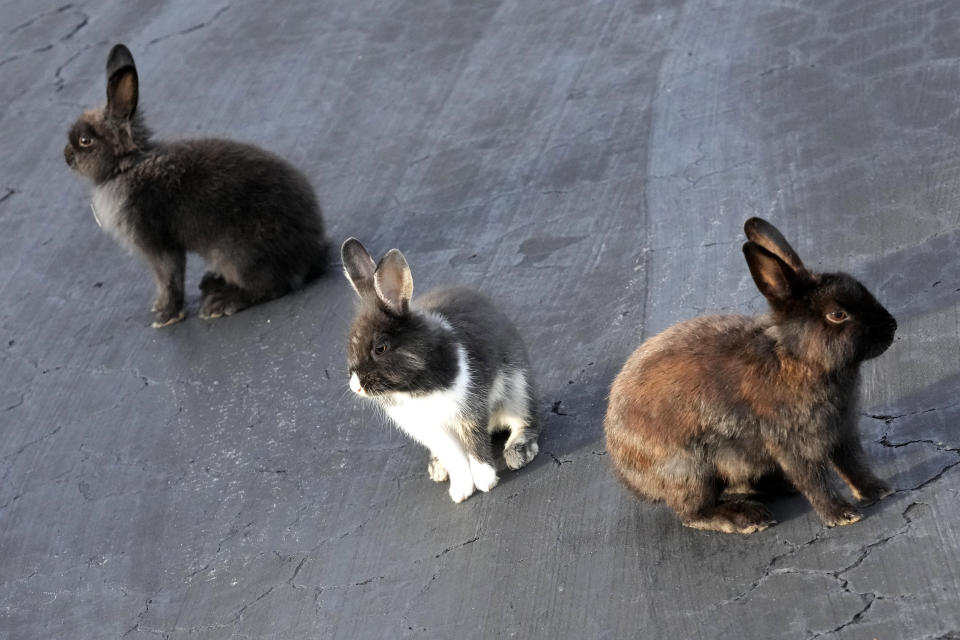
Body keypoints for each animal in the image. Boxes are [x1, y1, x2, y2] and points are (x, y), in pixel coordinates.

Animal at [63, 43, 328, 330]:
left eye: (85, 140)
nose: (66, 156)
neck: (126, 168)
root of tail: (312, 251)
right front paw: (160, 308)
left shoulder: (158, 246)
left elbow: (169, 277)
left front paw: (166, 317)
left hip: (236, 255)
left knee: (274, 285)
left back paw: (221, 303)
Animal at [340, 238, 540, 502]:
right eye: (349, 346)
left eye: (380, 348)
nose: (356, 387)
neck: (412, 387)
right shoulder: (433, 431)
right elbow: (455, 458)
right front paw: (461, 491)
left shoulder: (469, 411)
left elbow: (476, 448)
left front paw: (485, 482)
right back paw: (437, 468)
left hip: (518, 388)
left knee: (526, 420)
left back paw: (519, 452)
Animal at [604, 218, 896, 532]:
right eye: (838, 314)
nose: (892, 326)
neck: (796, 356)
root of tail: (627, 475)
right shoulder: (792, 442)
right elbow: (813, 480)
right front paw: (841, 515)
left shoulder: (843, 432)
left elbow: (853, 464)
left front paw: (878, 489)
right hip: (689, 470)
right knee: (693, 513)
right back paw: (748, 518)